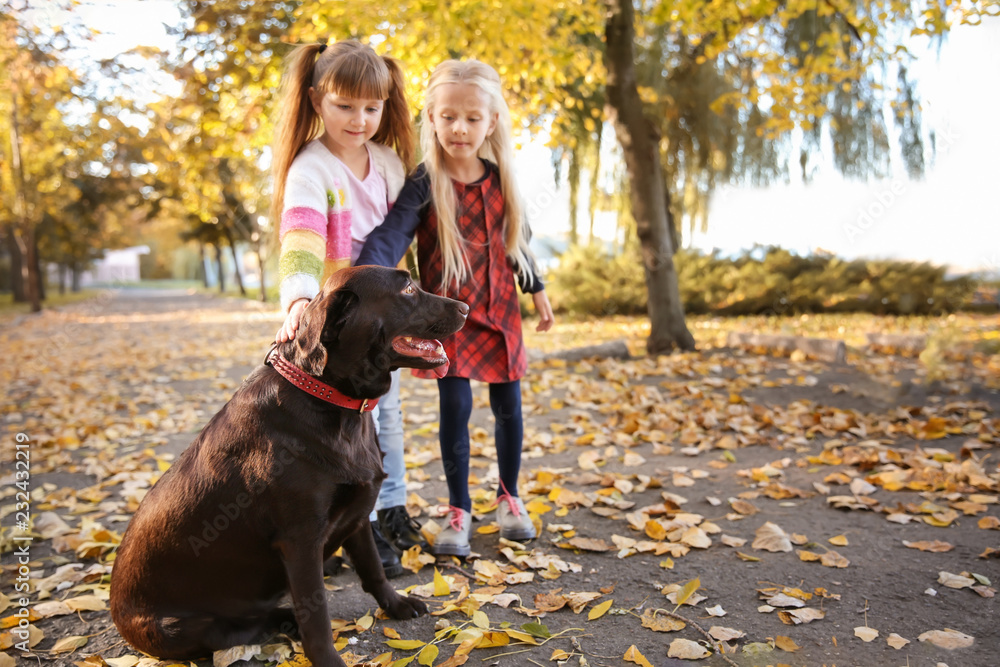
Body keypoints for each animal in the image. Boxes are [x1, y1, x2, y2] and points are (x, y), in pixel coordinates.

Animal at [109, 268, 468, 667]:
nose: (466, 308)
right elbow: (317, 612)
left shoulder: (358, 516)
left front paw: (396, 605)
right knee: (238, 629)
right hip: (178, 627)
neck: (329, 400)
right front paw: (328, 660)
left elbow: (374, 570)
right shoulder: (301, 540)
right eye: (407, 289)